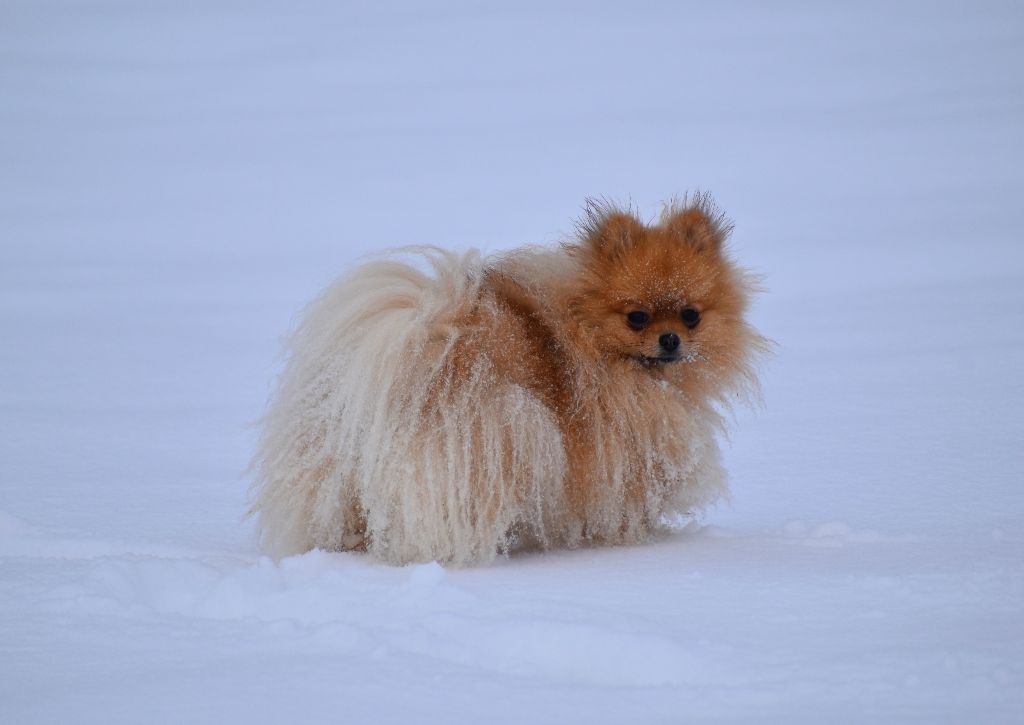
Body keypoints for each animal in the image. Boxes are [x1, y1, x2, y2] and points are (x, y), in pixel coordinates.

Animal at [251, 195, 765, 565]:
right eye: (637, 317)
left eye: (691, 315)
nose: (670, 339)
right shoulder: (618, 451)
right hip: (508, 433)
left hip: (337, 474)